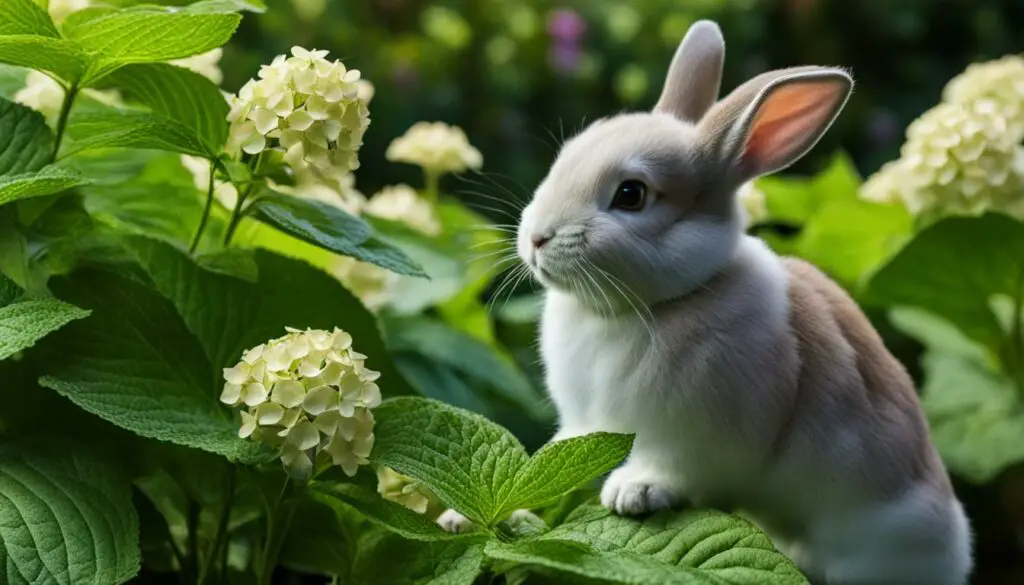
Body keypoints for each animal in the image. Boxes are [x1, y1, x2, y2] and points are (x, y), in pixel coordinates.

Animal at [434, 19, 974, 585]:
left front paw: (633, 492)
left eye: (631, 195)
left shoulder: (696, 440)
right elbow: (548, 472)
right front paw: (458, 518)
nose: (536, 238)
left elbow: (676, 472)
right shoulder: (581, 428)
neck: (655, 304)